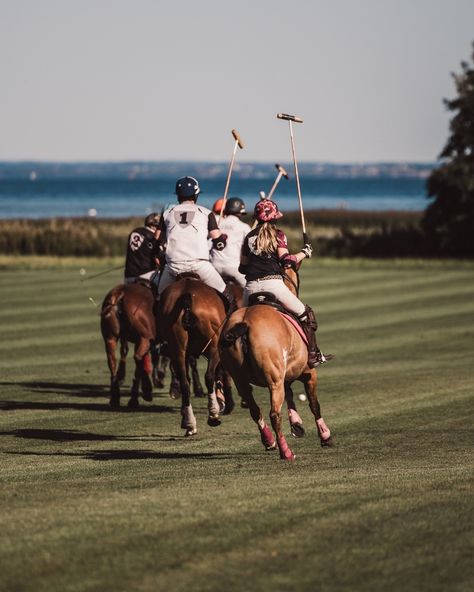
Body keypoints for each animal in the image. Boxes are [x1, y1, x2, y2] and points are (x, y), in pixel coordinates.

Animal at [100, 280, 156, 408]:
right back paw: (139, 395)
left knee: (112, 362)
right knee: (138, 358)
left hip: (110, 338)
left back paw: (115, 398)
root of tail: (119, 295)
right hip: (145, 338)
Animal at [156, 274, 230, 434]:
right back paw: (213, 415)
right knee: (208, 376)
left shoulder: (184, 354)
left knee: (184, 382)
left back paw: (189, 423)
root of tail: (187, 296)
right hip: (214, 346)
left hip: (177, 347)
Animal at [219, 266, 334, 460]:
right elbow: (314, 404)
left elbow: (290, 395)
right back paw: (286, 451)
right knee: (274, 414)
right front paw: (325, 436)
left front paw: (297, 425)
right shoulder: (308, 373)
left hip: (240, 379)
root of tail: (244, 324)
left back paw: (269, 441)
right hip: (274, 381)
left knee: (255, 410)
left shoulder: (284, 374)